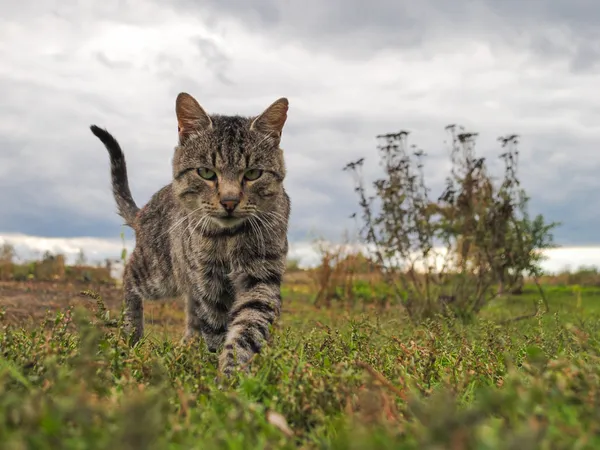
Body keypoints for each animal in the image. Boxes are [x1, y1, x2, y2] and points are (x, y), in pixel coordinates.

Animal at [89, 92, 292, 376]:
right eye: (206, 172)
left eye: (253, 173)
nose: (229, 201)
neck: (229, 240)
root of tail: (143, 212)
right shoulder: (208, 283)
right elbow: (216, 329)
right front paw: (217, 370)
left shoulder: (261, 279)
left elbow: (247, 328)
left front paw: (232, 373)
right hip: (158, 274)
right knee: (129, 275)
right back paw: (133, 333)